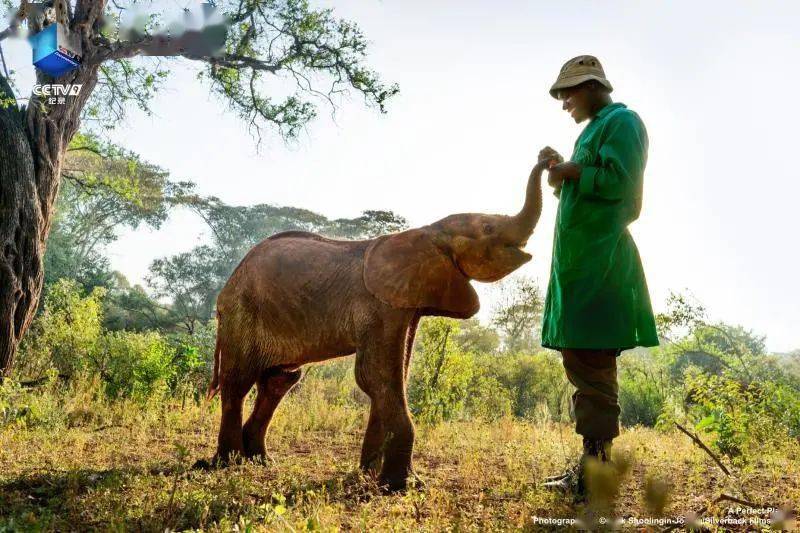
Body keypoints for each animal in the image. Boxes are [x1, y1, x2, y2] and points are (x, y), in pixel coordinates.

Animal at [203, 162, 548, 490]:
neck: (428, 231)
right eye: (488, 228)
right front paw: (401, 485)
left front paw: (368, 475)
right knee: (239, 381)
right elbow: (375, 376)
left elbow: (392, 377)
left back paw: (260, 460)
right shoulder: (377, 306)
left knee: (279, 379)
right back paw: (228, 463)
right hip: (241, 312)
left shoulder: (406, 305)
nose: (548, 157)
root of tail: (227, 287)